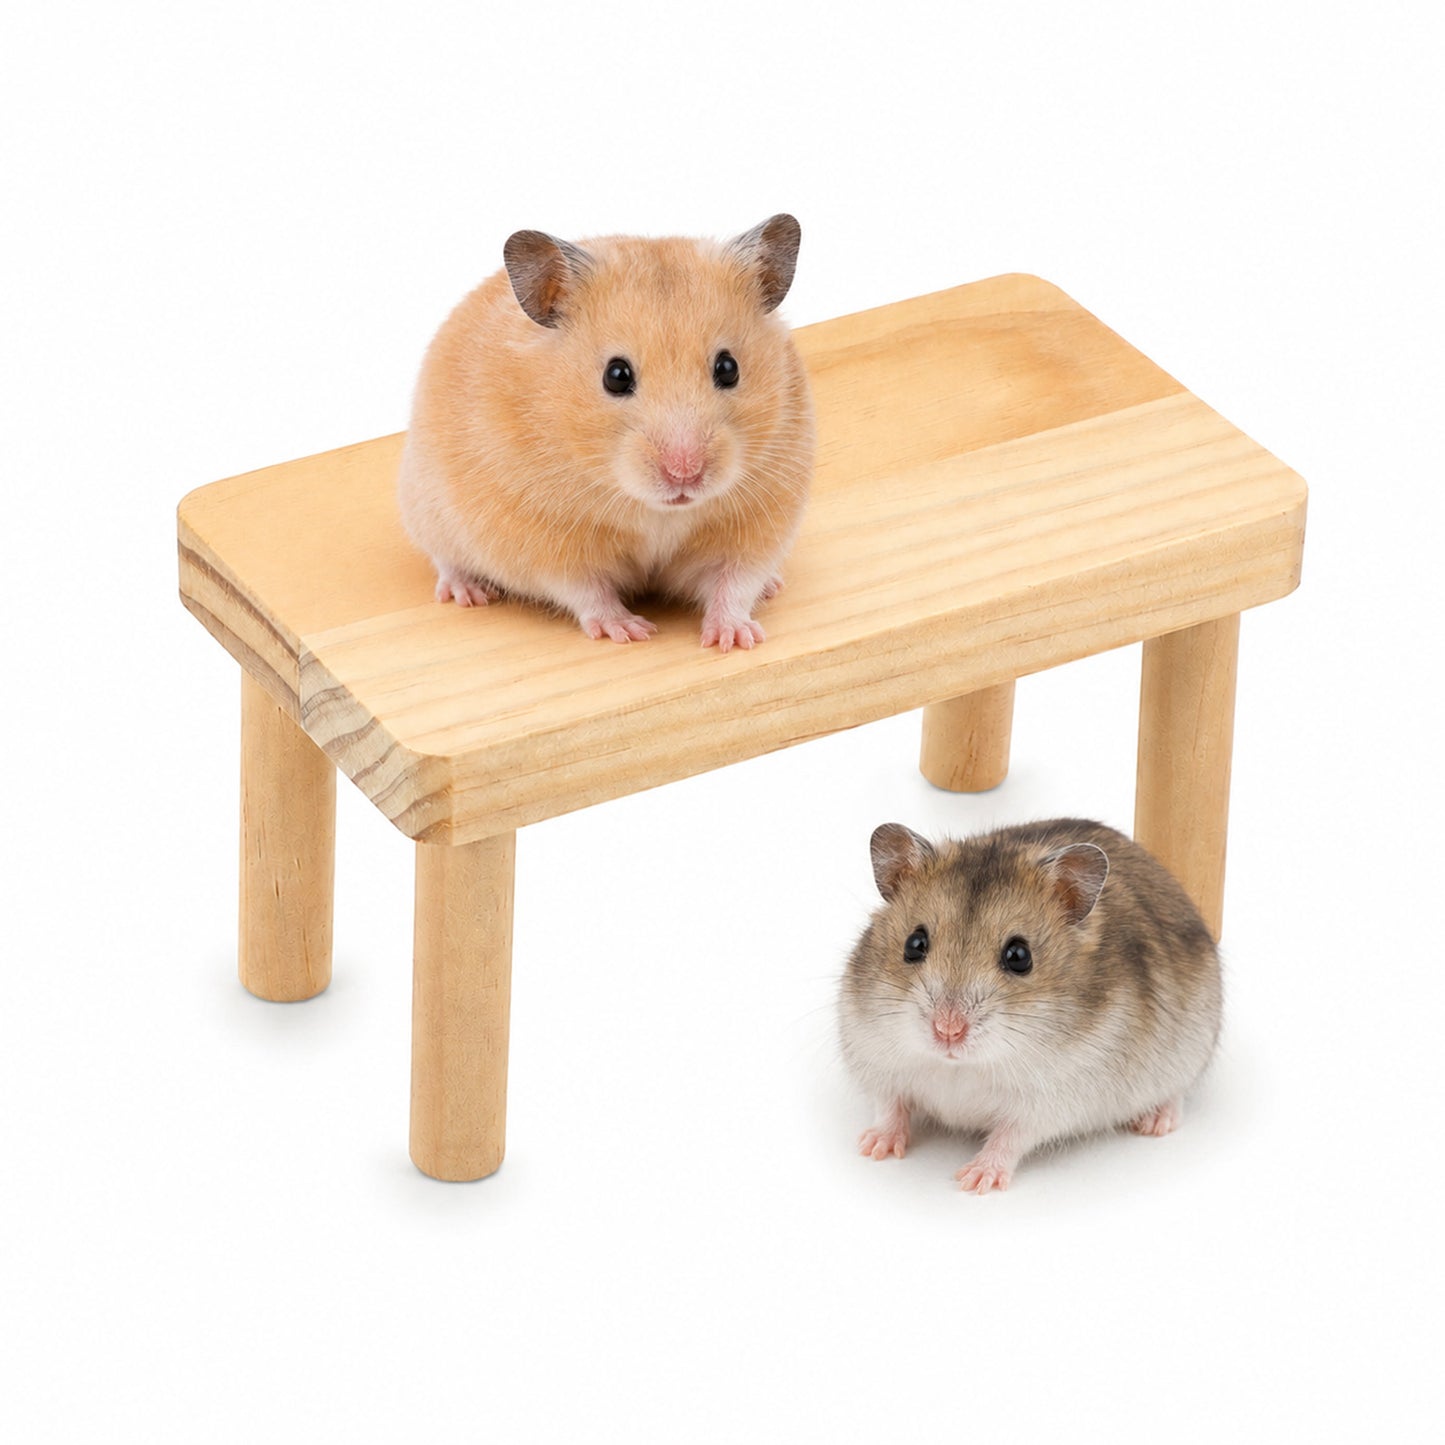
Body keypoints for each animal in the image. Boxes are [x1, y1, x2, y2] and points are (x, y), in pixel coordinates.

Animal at [397, 215, 815, 651]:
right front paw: (632, 631)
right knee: (445, 560)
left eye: (728, 367)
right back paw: (469, 593)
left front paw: (734, 639)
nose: (685, 474)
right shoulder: (548, 544)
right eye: (616, 376)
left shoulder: (758, 526)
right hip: (426, 509)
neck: (657, 510)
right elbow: (587, 590)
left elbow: (734, 583)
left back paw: (771, 587)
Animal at [838, 819, 1222, 1194]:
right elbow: (890, 1106)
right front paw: (872, 1148)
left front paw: (975, 1180)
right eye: (914, 944)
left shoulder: (1048, 1101)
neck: (961, 1066)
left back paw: (1154, 1123)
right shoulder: (880, 1062)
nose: (948, 1030)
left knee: (1176, 1094)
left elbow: (1010, 1138)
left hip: (1191, 1049)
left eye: (1019, 956)